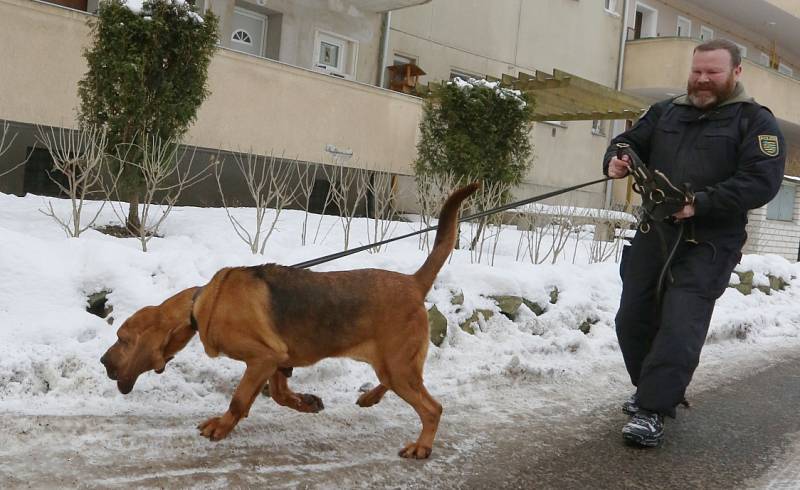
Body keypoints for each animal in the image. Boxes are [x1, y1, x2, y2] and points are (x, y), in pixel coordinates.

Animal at [100, 182, 476, 458]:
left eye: (123, 339)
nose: (103, 361)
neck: (201, 304)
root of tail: (413, 281)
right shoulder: (278, 362)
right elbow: (280, 395)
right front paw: (307, 403)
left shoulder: (262, 358)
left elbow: (239, 399)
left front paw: (220, 426)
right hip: (393, 364)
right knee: (399, 384)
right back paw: (370, 398)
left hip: (397, 366)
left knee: (432, 408)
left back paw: (422, 446)